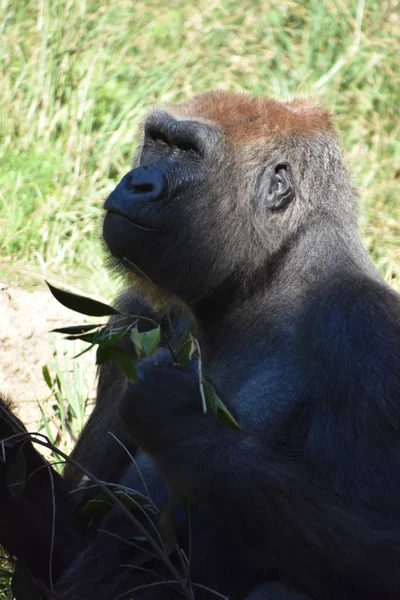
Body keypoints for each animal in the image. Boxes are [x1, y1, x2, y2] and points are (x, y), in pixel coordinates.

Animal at [0, 92, 400, 600]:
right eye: (158, 142)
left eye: (188, 153)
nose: (137, 182)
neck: (270, 280)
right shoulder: (136, 316)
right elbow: (70, 536)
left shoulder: (365, 331)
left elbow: (384, 552)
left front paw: (180, 418)